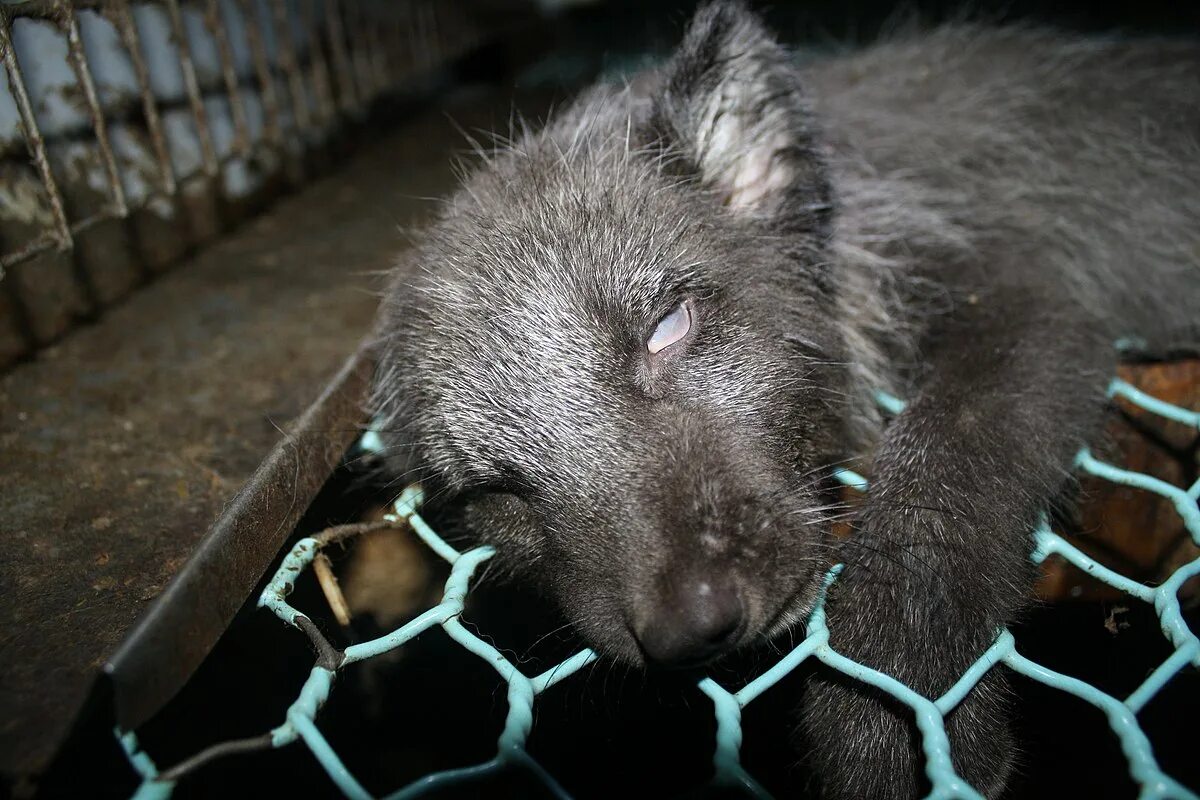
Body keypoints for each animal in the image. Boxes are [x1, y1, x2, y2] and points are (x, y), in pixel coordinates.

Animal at [367, 3, 1200, 796]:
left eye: (667, 329)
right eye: (496, 490)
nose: (691, 629)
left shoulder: (1022, 300)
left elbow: (941, 464)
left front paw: (891, 686)